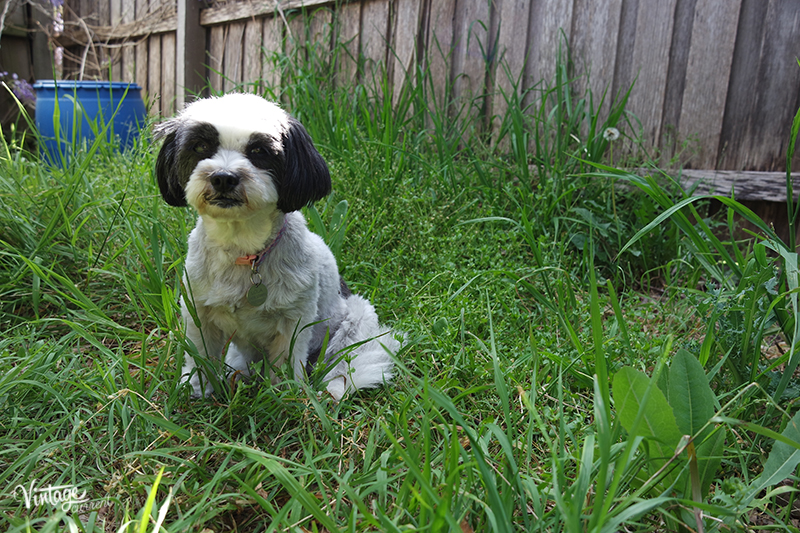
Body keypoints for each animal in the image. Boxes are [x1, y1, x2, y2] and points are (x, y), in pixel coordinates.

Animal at [153, 93, 400, 400]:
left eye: (259, 151)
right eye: (200, 146)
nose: (223, 177)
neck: (244, 252)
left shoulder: (294, 320)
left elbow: (286, 360)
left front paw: (284, 397)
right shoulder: (198, 311)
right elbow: (201, 355)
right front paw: (198, 389)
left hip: (355, 324)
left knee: (345, 365)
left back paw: (331, 391)